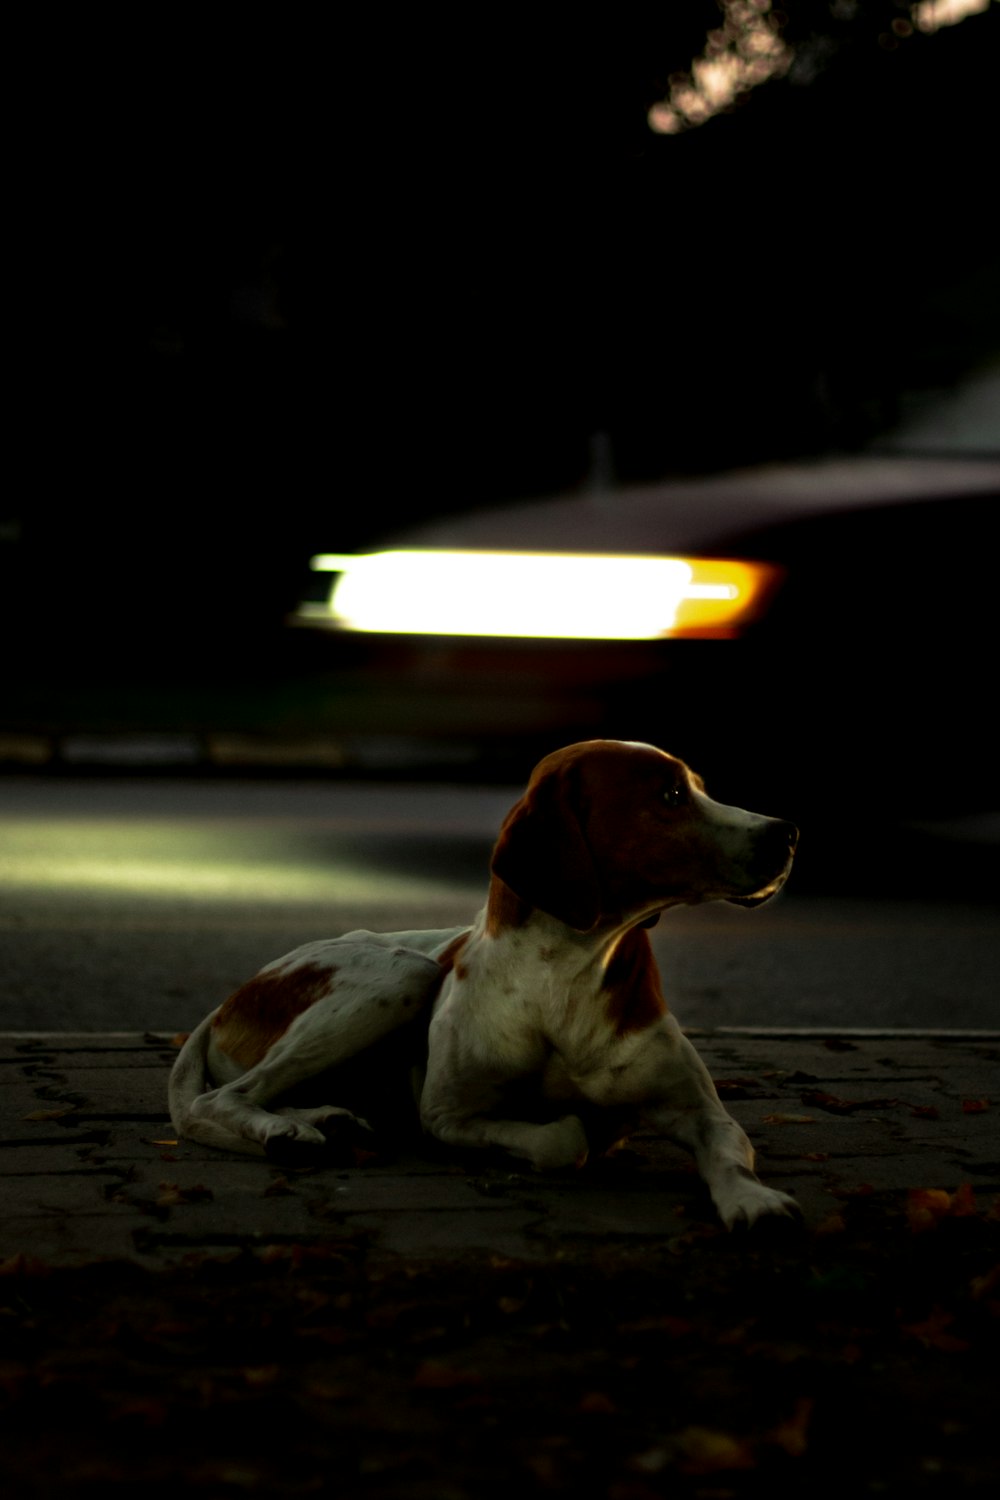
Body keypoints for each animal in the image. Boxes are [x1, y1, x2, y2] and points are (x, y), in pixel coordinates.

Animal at [170, 741, 797, 1230]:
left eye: (700, 789)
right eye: (669, 796)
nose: (788, 831)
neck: (561, 973)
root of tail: (228, 1001)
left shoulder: (700, 1111)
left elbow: (728, 1150)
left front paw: (754, 1200)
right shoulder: (448, 1116)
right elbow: (561, 1139)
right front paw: (574, 1129)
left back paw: (324, 1118)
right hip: (405, 972)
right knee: (223, 1097)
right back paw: (285, 1129)